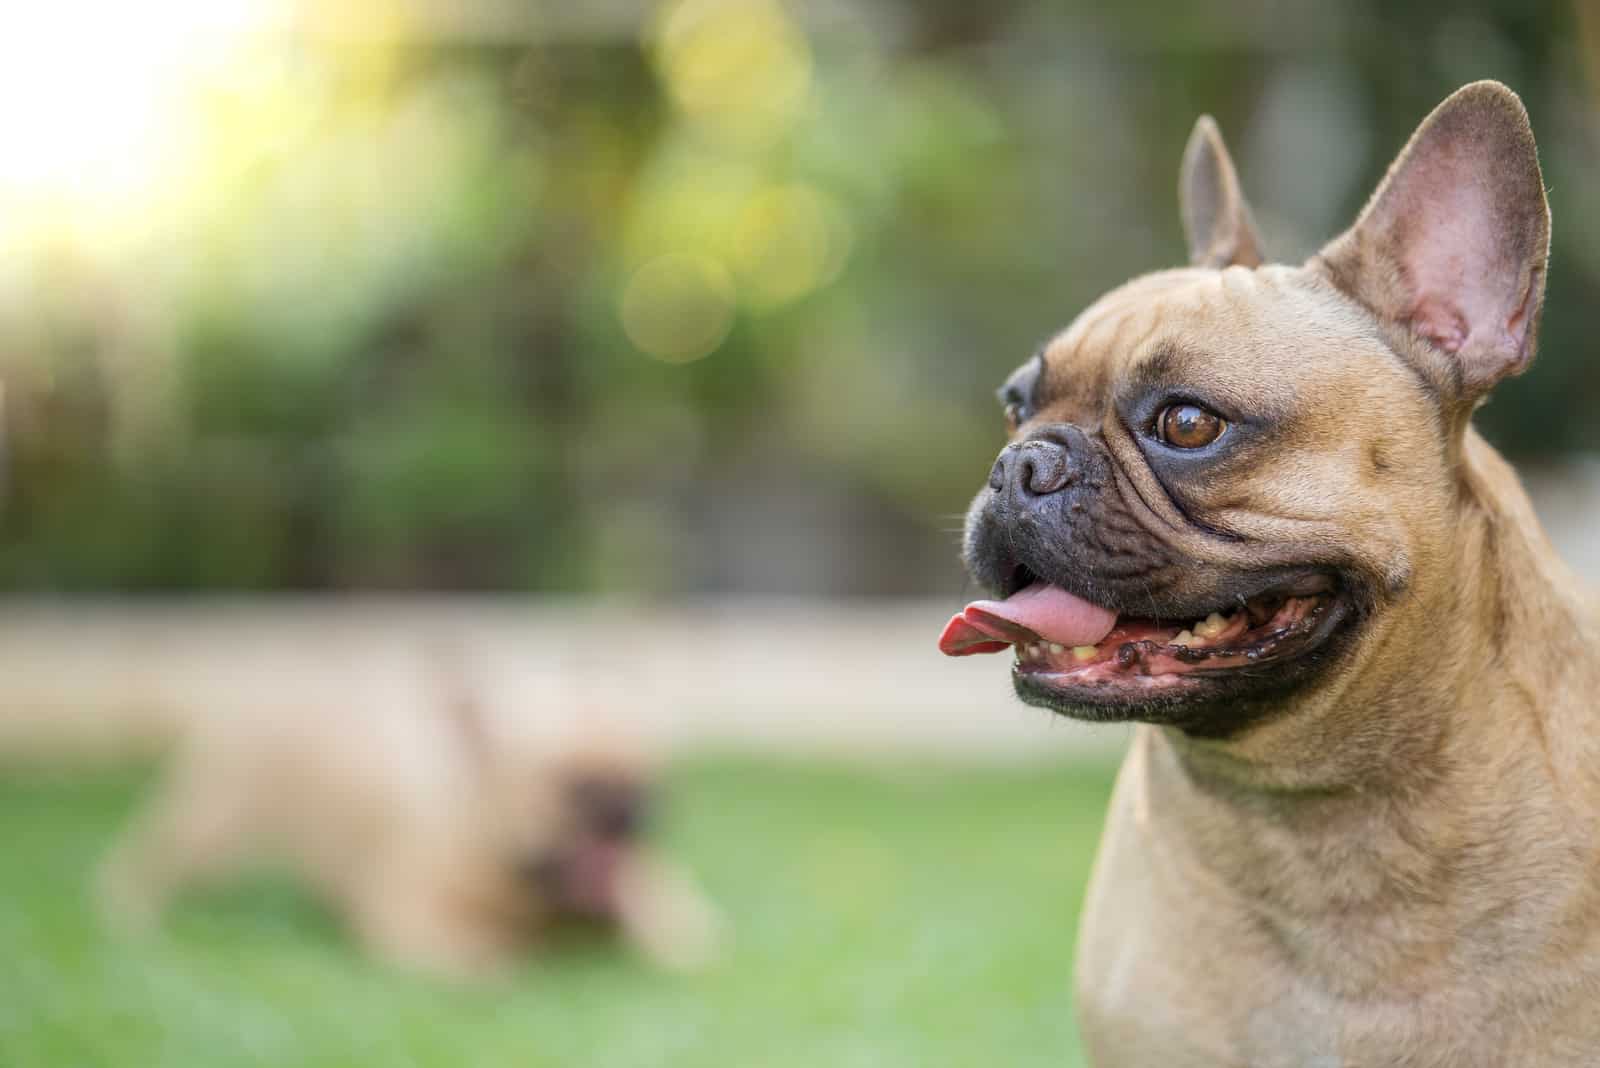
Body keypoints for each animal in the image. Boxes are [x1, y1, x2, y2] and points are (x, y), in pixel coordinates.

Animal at [98, 645, 720, 978]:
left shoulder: (653, 884)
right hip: (214, 819)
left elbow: (678, 924)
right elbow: (482, 949)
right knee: (150, 861)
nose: (631, 809)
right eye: (568, 785)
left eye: (657, 779)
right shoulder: (412, 914)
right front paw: (509, 955)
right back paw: (129, 915)